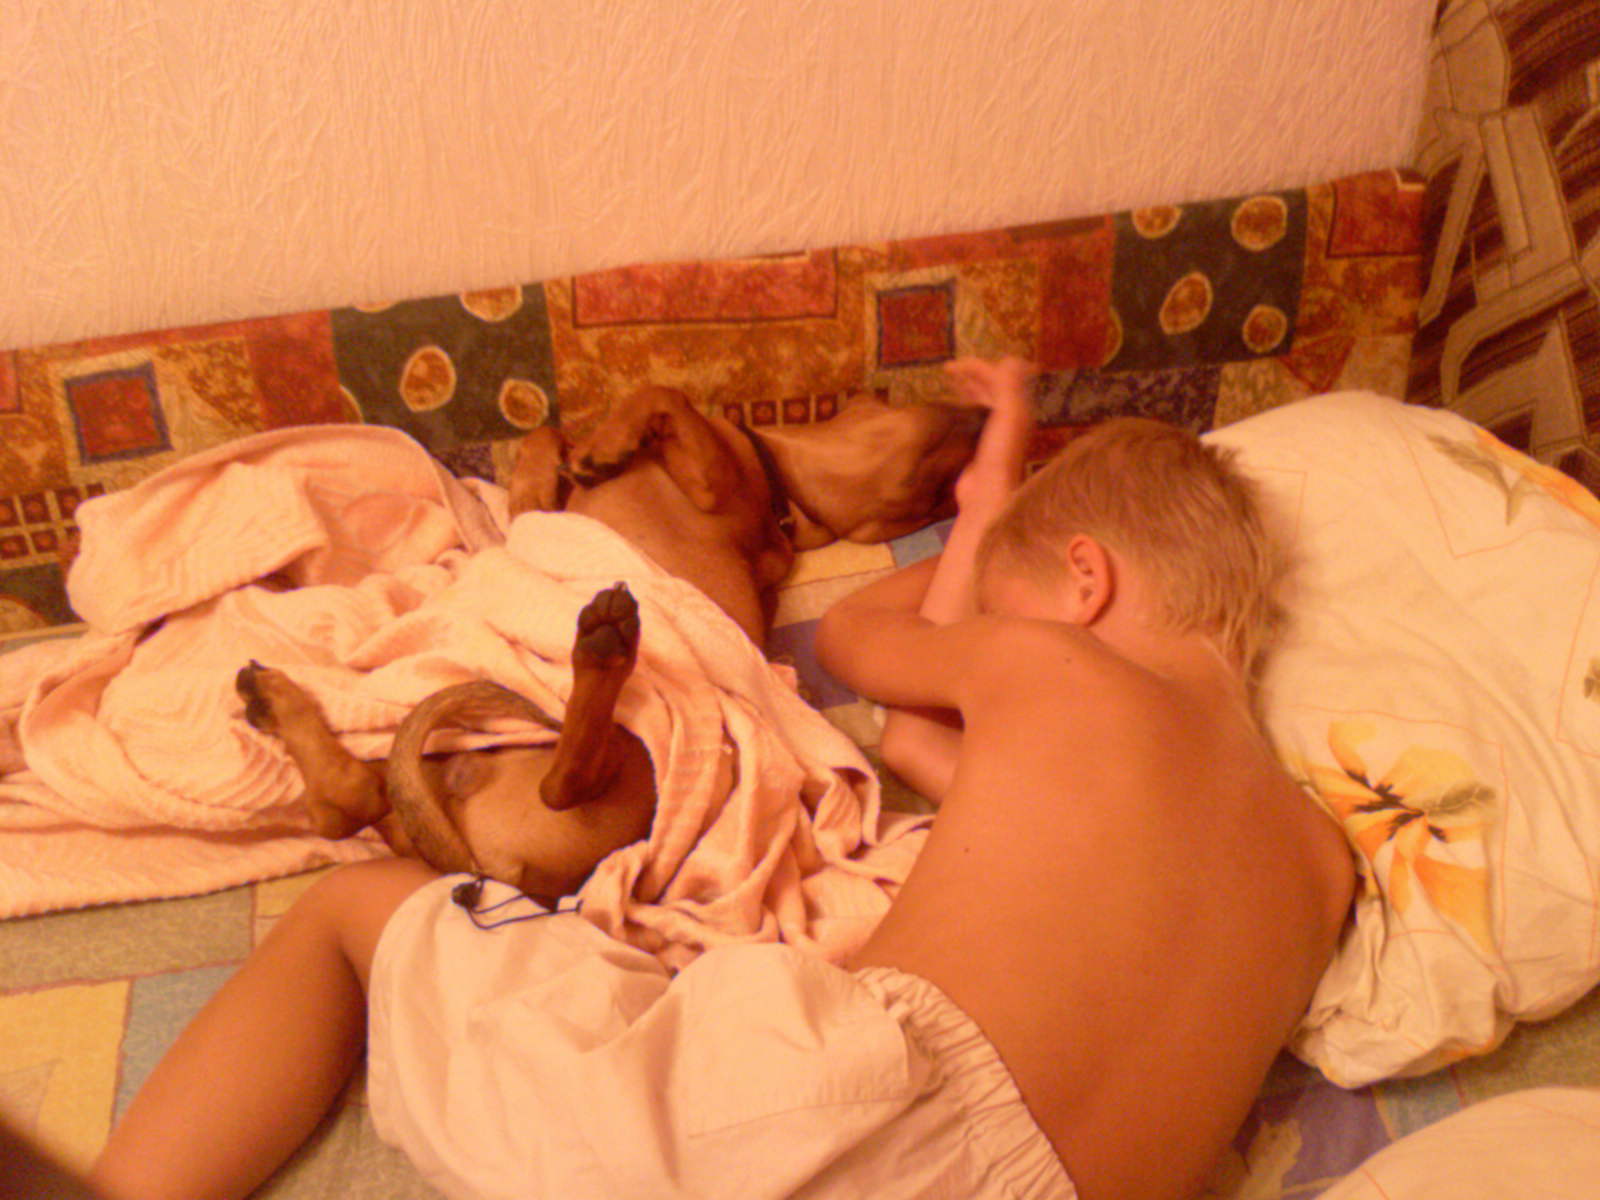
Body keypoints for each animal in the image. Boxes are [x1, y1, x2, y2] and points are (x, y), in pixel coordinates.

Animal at [236, 386, 983, 902]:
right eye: (927, 494)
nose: (990, 416)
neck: (779, 495)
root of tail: (483, 870)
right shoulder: (550, 504)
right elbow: (547, 437)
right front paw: (586, 450)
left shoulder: (712, 482)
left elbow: (662, 392)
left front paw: (606, 445)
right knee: (348, 803)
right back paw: (270, 696)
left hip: (623, 758)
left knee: (561, 783)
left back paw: (604, 647)